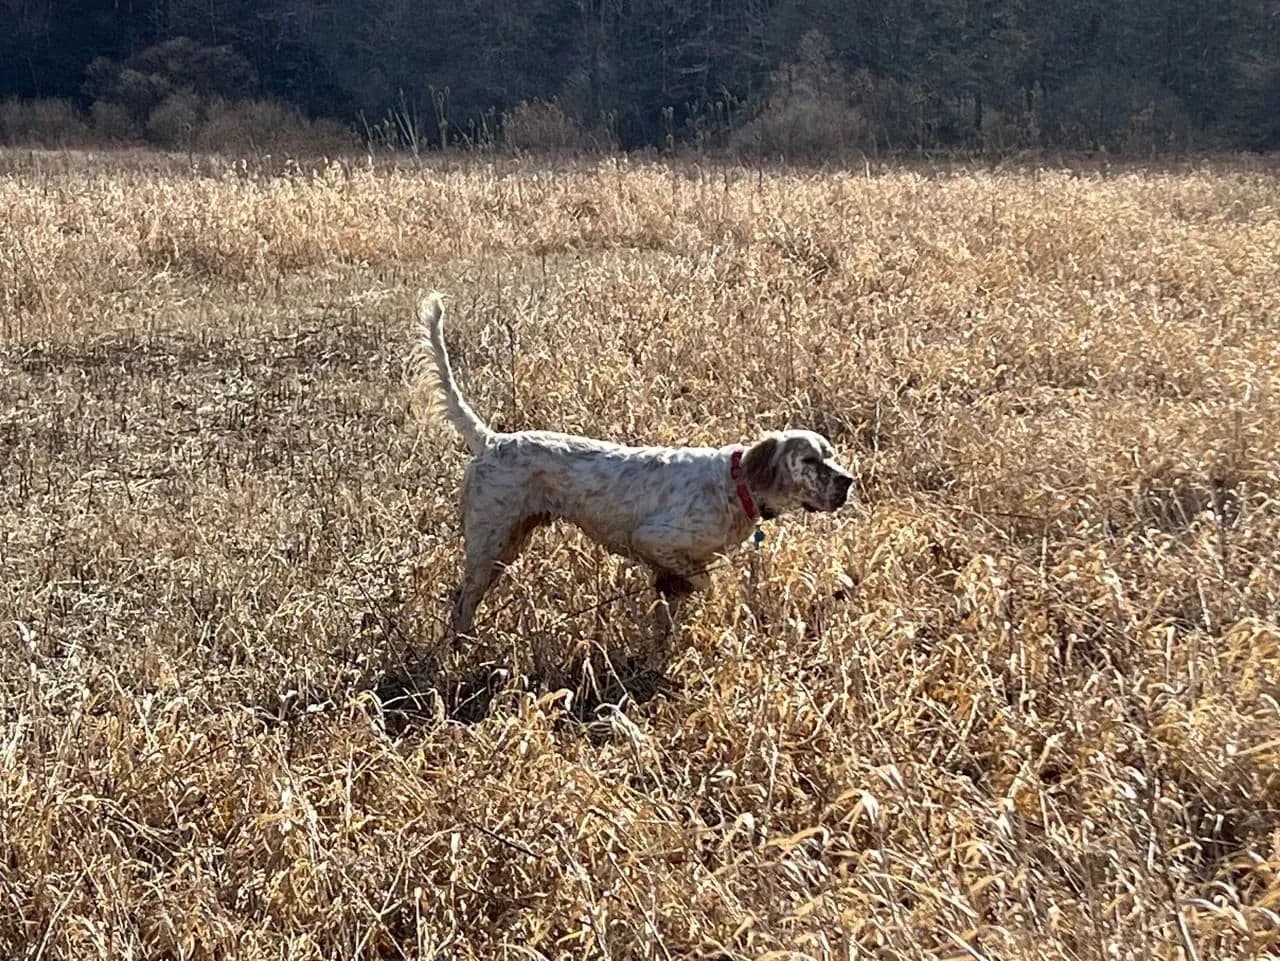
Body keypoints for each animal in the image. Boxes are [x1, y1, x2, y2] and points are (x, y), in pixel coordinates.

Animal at [415, 292, 853, 647]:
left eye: (831, 455)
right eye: (811, 460)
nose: (848, 481)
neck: (735, 484)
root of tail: (492, 440)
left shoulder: (666, 566)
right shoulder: (655, 540)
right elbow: (706, 581)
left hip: (509, 542)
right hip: (490, 543)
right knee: (461, 602)